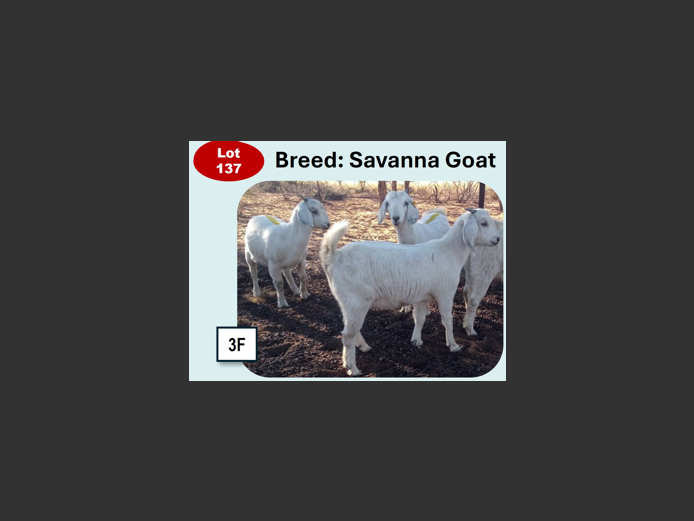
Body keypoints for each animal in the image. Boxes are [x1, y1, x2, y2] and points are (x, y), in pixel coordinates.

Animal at [320, 209, 501, 376]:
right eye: (484, 223)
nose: (498, 239)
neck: (450, 251)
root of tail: (335, 256)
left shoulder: (422, 298)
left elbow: (419, 319)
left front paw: (416, 341)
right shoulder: (445, 294)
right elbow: (447, 320)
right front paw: (453, 345)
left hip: (347, 302)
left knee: (350, 328)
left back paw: (363, 348)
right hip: (356, 300)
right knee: (347, 335)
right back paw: (353, 368)